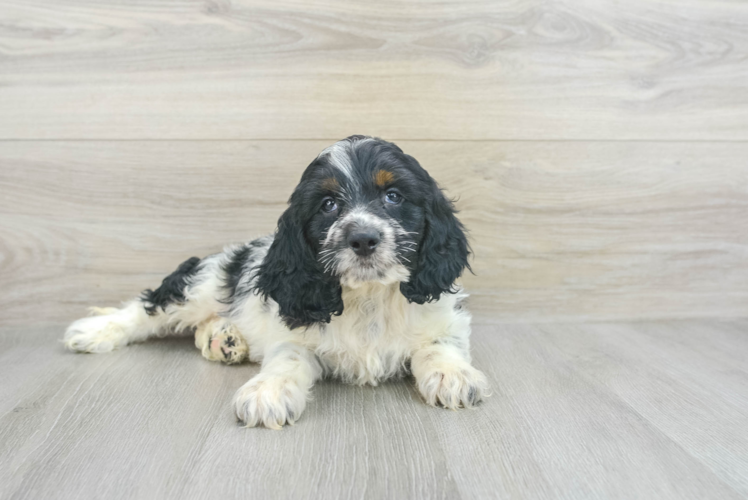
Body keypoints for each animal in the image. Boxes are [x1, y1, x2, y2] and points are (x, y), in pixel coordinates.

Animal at [64, 135, 490, 428]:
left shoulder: (442, 315)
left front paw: (453, 375)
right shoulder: (295, 329)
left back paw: (224, 338)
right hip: (203, 282)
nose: (363, 239)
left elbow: (439, 344)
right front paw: (267, 392)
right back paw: (95, 330)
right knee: (149, 306)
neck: (367, 296)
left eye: (394, 196)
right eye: (328, 205)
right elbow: (287, 359)